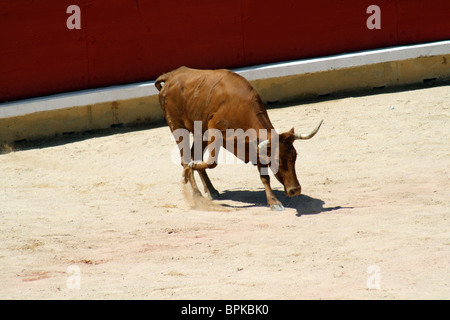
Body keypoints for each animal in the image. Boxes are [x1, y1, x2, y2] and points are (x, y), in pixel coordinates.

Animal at [156, 65, 322, 210]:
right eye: (277, 160)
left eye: (294, 156)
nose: (295, 189)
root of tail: (171, 76)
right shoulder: (214, 133)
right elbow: (211, 163)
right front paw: (191, 168)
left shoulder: (256, 147)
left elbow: (265, 177)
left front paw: (274, 202)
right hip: (177, 127)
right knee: (185, 158)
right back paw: (197, 194)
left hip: (199, 131)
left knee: (193, 154)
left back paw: (211, 191)